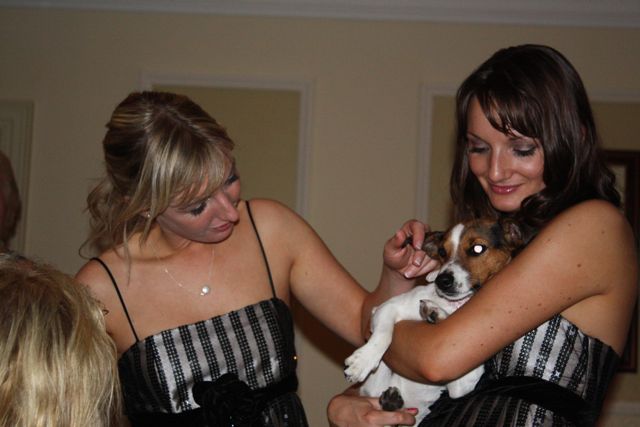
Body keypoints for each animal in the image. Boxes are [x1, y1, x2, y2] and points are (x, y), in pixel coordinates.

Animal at [344, 217, 529, 424]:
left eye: (478, 248)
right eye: (442, 252)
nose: (442, 281)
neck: (453, 305)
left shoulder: (460, 386)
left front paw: (436, 312)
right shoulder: (386, 308)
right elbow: (384, 335)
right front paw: (363, 361)